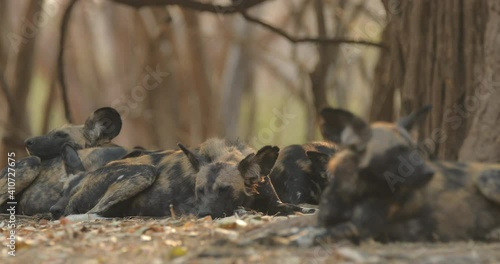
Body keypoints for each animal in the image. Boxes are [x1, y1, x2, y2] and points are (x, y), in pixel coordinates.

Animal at [49, 139, 312, 220]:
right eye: (199, 191)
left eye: (225, 189)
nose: (203, 214)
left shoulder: (275, 202)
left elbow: (291, 208)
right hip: (143, 173)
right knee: (91, 213)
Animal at [316, 106, 500, 242]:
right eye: (399, 151)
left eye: (415, 150)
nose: (430, 172)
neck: (355, 190)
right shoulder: (326, 221)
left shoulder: (358, 228)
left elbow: (317, 235)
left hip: (485, 179)